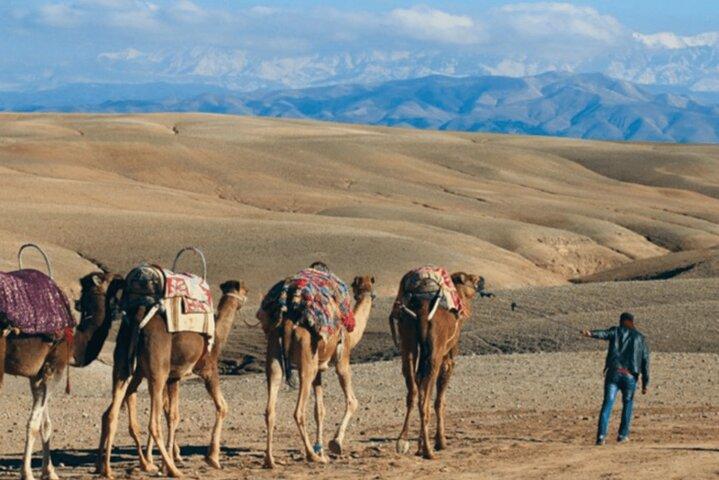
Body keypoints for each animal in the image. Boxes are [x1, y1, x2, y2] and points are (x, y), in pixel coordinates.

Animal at [1, 271, 123, 480]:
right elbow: (34, 423)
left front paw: (49, 471)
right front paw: (27, 473)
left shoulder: (38, 375)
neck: (75, 343)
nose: (122, 277)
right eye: (109, 278)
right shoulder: (55, 368)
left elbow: (46, 424)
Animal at [95, 277, 247, 479]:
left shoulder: (173, 377)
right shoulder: (208, 369)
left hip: (124, 366)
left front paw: (168, 460)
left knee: (110, 413)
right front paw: (212, 458)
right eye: (245, 291)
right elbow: (222, 406)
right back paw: (172, 470)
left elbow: (173, 415)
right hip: (155, 371)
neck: (218, 336)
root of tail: (139, 318)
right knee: (152, 423)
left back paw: (106, 468)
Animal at [260, 274, 375, 469]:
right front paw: (335, 443)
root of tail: (288, 323)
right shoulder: (342, 360)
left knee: (270, 407)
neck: (352, 334)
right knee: (298, 411)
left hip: (275, 352)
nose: (370, 295)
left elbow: (319, 410)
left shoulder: (319, 370)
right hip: (307, 362)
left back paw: (271, 460)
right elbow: (353, 401)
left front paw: (321, 448)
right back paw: (312, 456)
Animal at [391, 271, 484, 460]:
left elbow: (420, 385)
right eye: (471, 279)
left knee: (413, 391)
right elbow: (440, 399)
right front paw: (440, 442)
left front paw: (419, 446)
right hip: (435, 351)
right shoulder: (448, 356)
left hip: (408, 341)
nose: (482, 280)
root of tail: (422, 311)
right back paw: (428, 451)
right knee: (425, 399)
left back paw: (403, 441)